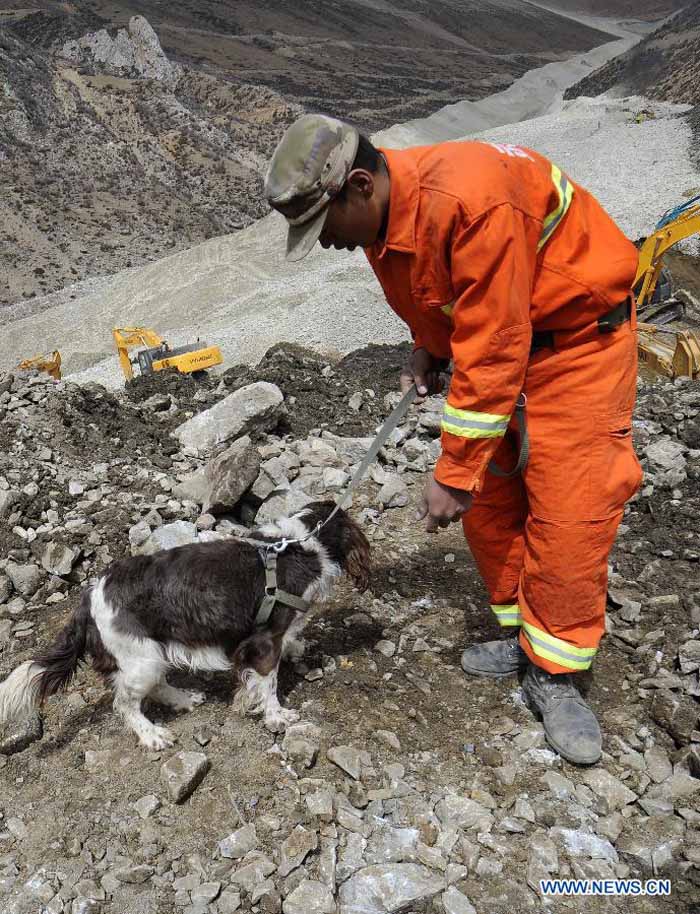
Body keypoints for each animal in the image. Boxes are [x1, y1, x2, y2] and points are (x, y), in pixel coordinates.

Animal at [0, 498, 372, 748]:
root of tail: (90, 595)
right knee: (125, 702)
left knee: (155, 686)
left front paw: (295, 648)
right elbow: (268, 683)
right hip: (142, 657)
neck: (301, 545)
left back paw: (184, 699)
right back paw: (152, 735)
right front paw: (277, 716)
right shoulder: (264, 642)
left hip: (151, 654)